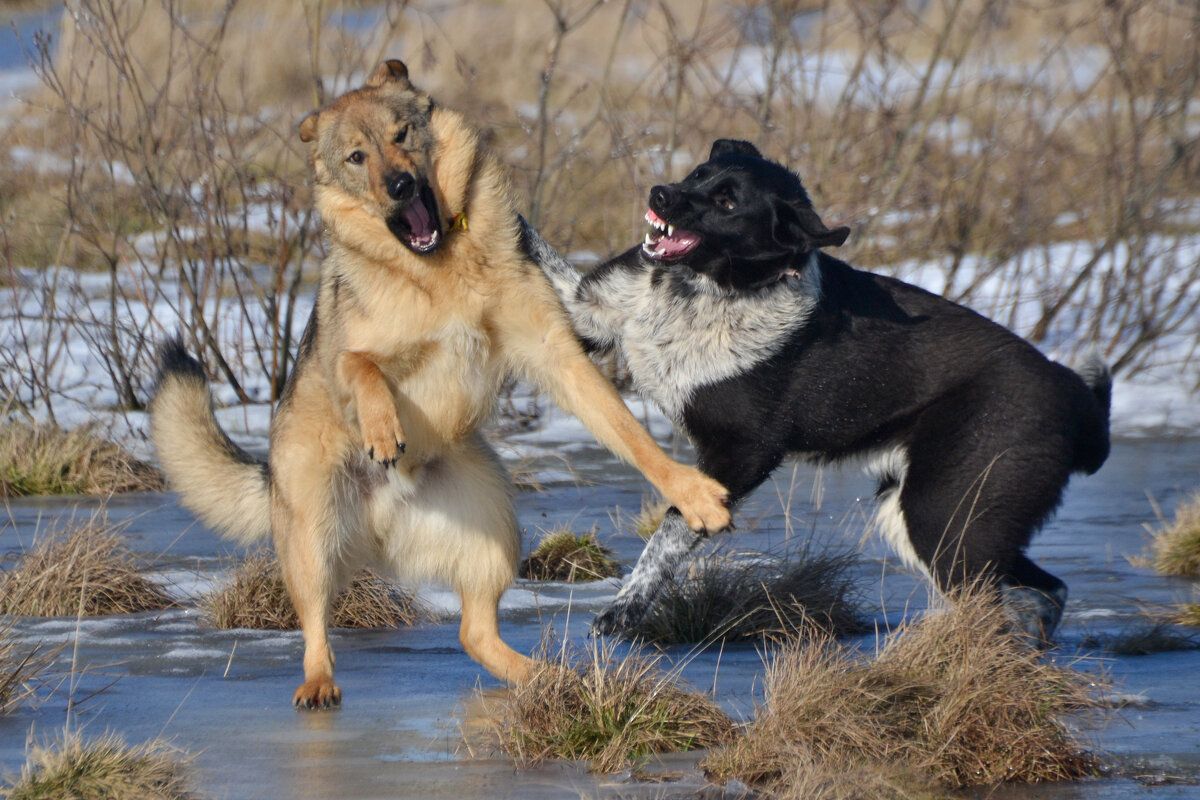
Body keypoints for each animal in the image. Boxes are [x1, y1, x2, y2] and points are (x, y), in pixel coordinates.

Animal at [150, 64, 729, 714]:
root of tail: (381, 524)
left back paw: (549, 680)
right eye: (356, 157)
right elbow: (362, 367)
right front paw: (382, 431)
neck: (440, 265)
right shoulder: (349, 357)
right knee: (317, 624)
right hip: (312, 540)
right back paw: (319, 684)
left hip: (496, 530)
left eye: (402, 134)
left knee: (473, 632)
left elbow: (630, 434)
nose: (399, 185)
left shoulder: (555, 352)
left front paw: (692, 493)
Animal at [520, 137, 1108, 638]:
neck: (707, 290)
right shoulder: (586, 317)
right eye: (699, 174)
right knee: (1044, 591)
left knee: (1004, 604)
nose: (659, 193)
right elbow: (536, 253)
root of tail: (1076, 395)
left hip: (944, 513)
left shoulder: (743, 452)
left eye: (728, 203)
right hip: (935, 515)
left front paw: (624, 610)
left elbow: (671, 530)